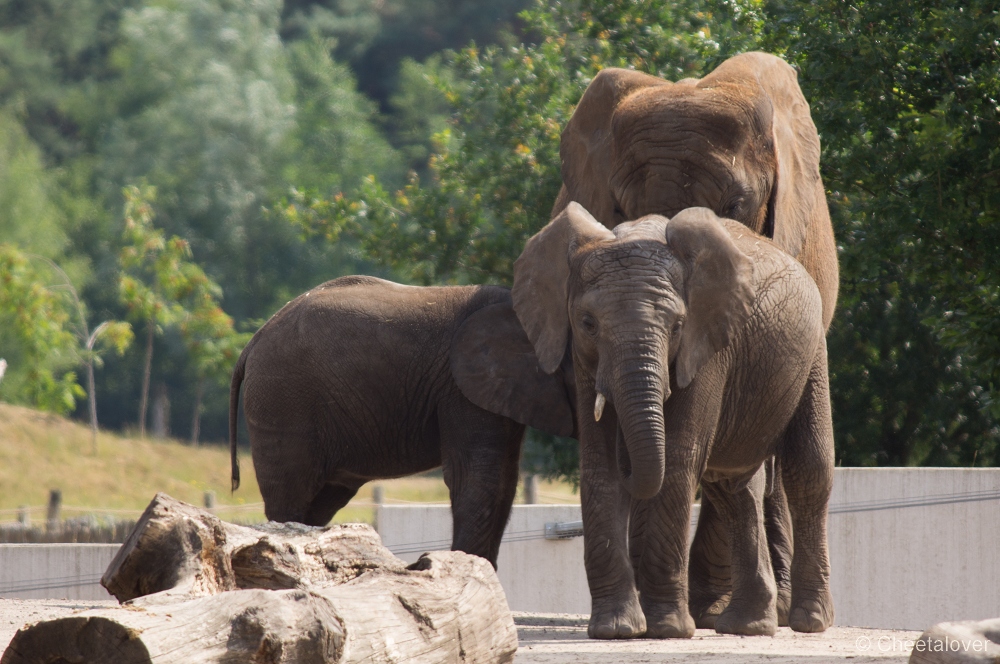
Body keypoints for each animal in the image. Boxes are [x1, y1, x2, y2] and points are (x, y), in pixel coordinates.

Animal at [227, 274, 572, 564]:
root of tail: (253, 341)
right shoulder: (461, 389)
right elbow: (478, 476)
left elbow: (503, 480)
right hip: (283, 401)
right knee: (291, 499)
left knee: (317, 504)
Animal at [512, 204, 832, 640]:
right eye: (587, 322)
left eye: (678, 325)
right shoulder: (581, 356)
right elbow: (599, 463)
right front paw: (616, 630)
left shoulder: (708, 345)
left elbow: (680, 459)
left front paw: (666, 630)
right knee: (734, 489)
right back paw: (746, 626)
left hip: (814, 351)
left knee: (807, 471)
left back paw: (809, 621)